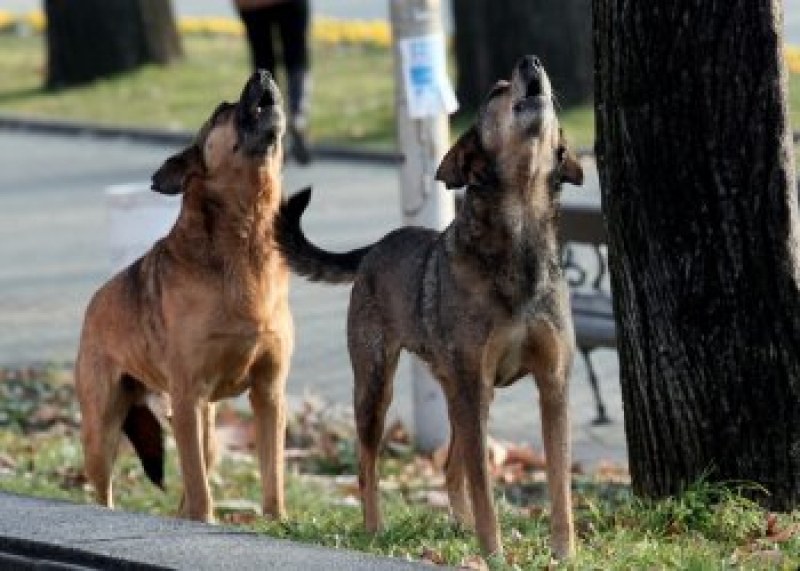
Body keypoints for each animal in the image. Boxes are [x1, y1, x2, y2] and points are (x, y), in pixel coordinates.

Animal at [74, 70, 294, 524]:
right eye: (222, 111)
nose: (263, 73)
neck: (247, 237)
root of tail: (94, 302)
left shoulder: (269, 394)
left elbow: (272, 474)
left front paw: (277, 522)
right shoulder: (188, 395)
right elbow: (198, 486)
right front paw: (209, 521)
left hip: (206, 427)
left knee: (193, 483)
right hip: (102, 428)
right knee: (106, 489)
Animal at [278, 57, 584, 560]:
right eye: (497, 90)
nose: (532, 62)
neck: (518, 241)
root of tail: (375, 247)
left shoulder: (552, 384)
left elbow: (558, 481)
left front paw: (563, 553)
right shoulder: (473, 384)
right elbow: (484, 488)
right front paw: (493, 555)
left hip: (463, 393)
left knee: (450, 467)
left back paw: (459, 525)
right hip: (378, 385)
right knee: (367, 464)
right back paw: (375, 529)